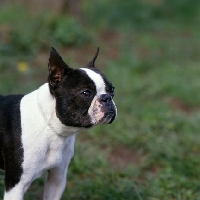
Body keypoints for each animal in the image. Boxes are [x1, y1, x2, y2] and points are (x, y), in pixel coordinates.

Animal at [0, 47, 117, 199]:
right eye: (86, 93)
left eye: (112, 90)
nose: (107, 98)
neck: (50, 129)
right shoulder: (16, 186)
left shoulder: (57, 178)